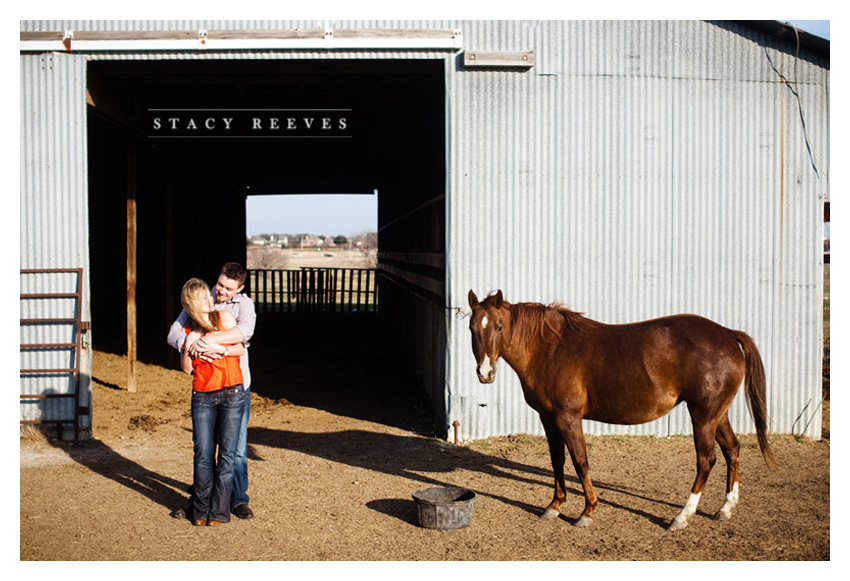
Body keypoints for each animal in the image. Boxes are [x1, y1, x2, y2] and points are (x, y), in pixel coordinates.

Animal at [468, 290, 772, 532]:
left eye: (498, 327)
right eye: (472, 328)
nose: (484, 374)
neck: (549, 348)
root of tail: (729, 335)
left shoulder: (568, 417)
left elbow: (580, 461)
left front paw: (587, 512)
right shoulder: (548, 418)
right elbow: (557, 461)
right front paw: (554, 506)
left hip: (703, 415)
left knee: (706, 460)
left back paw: (682, 516)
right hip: (718, 414)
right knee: (732, 449)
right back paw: (725, 508)